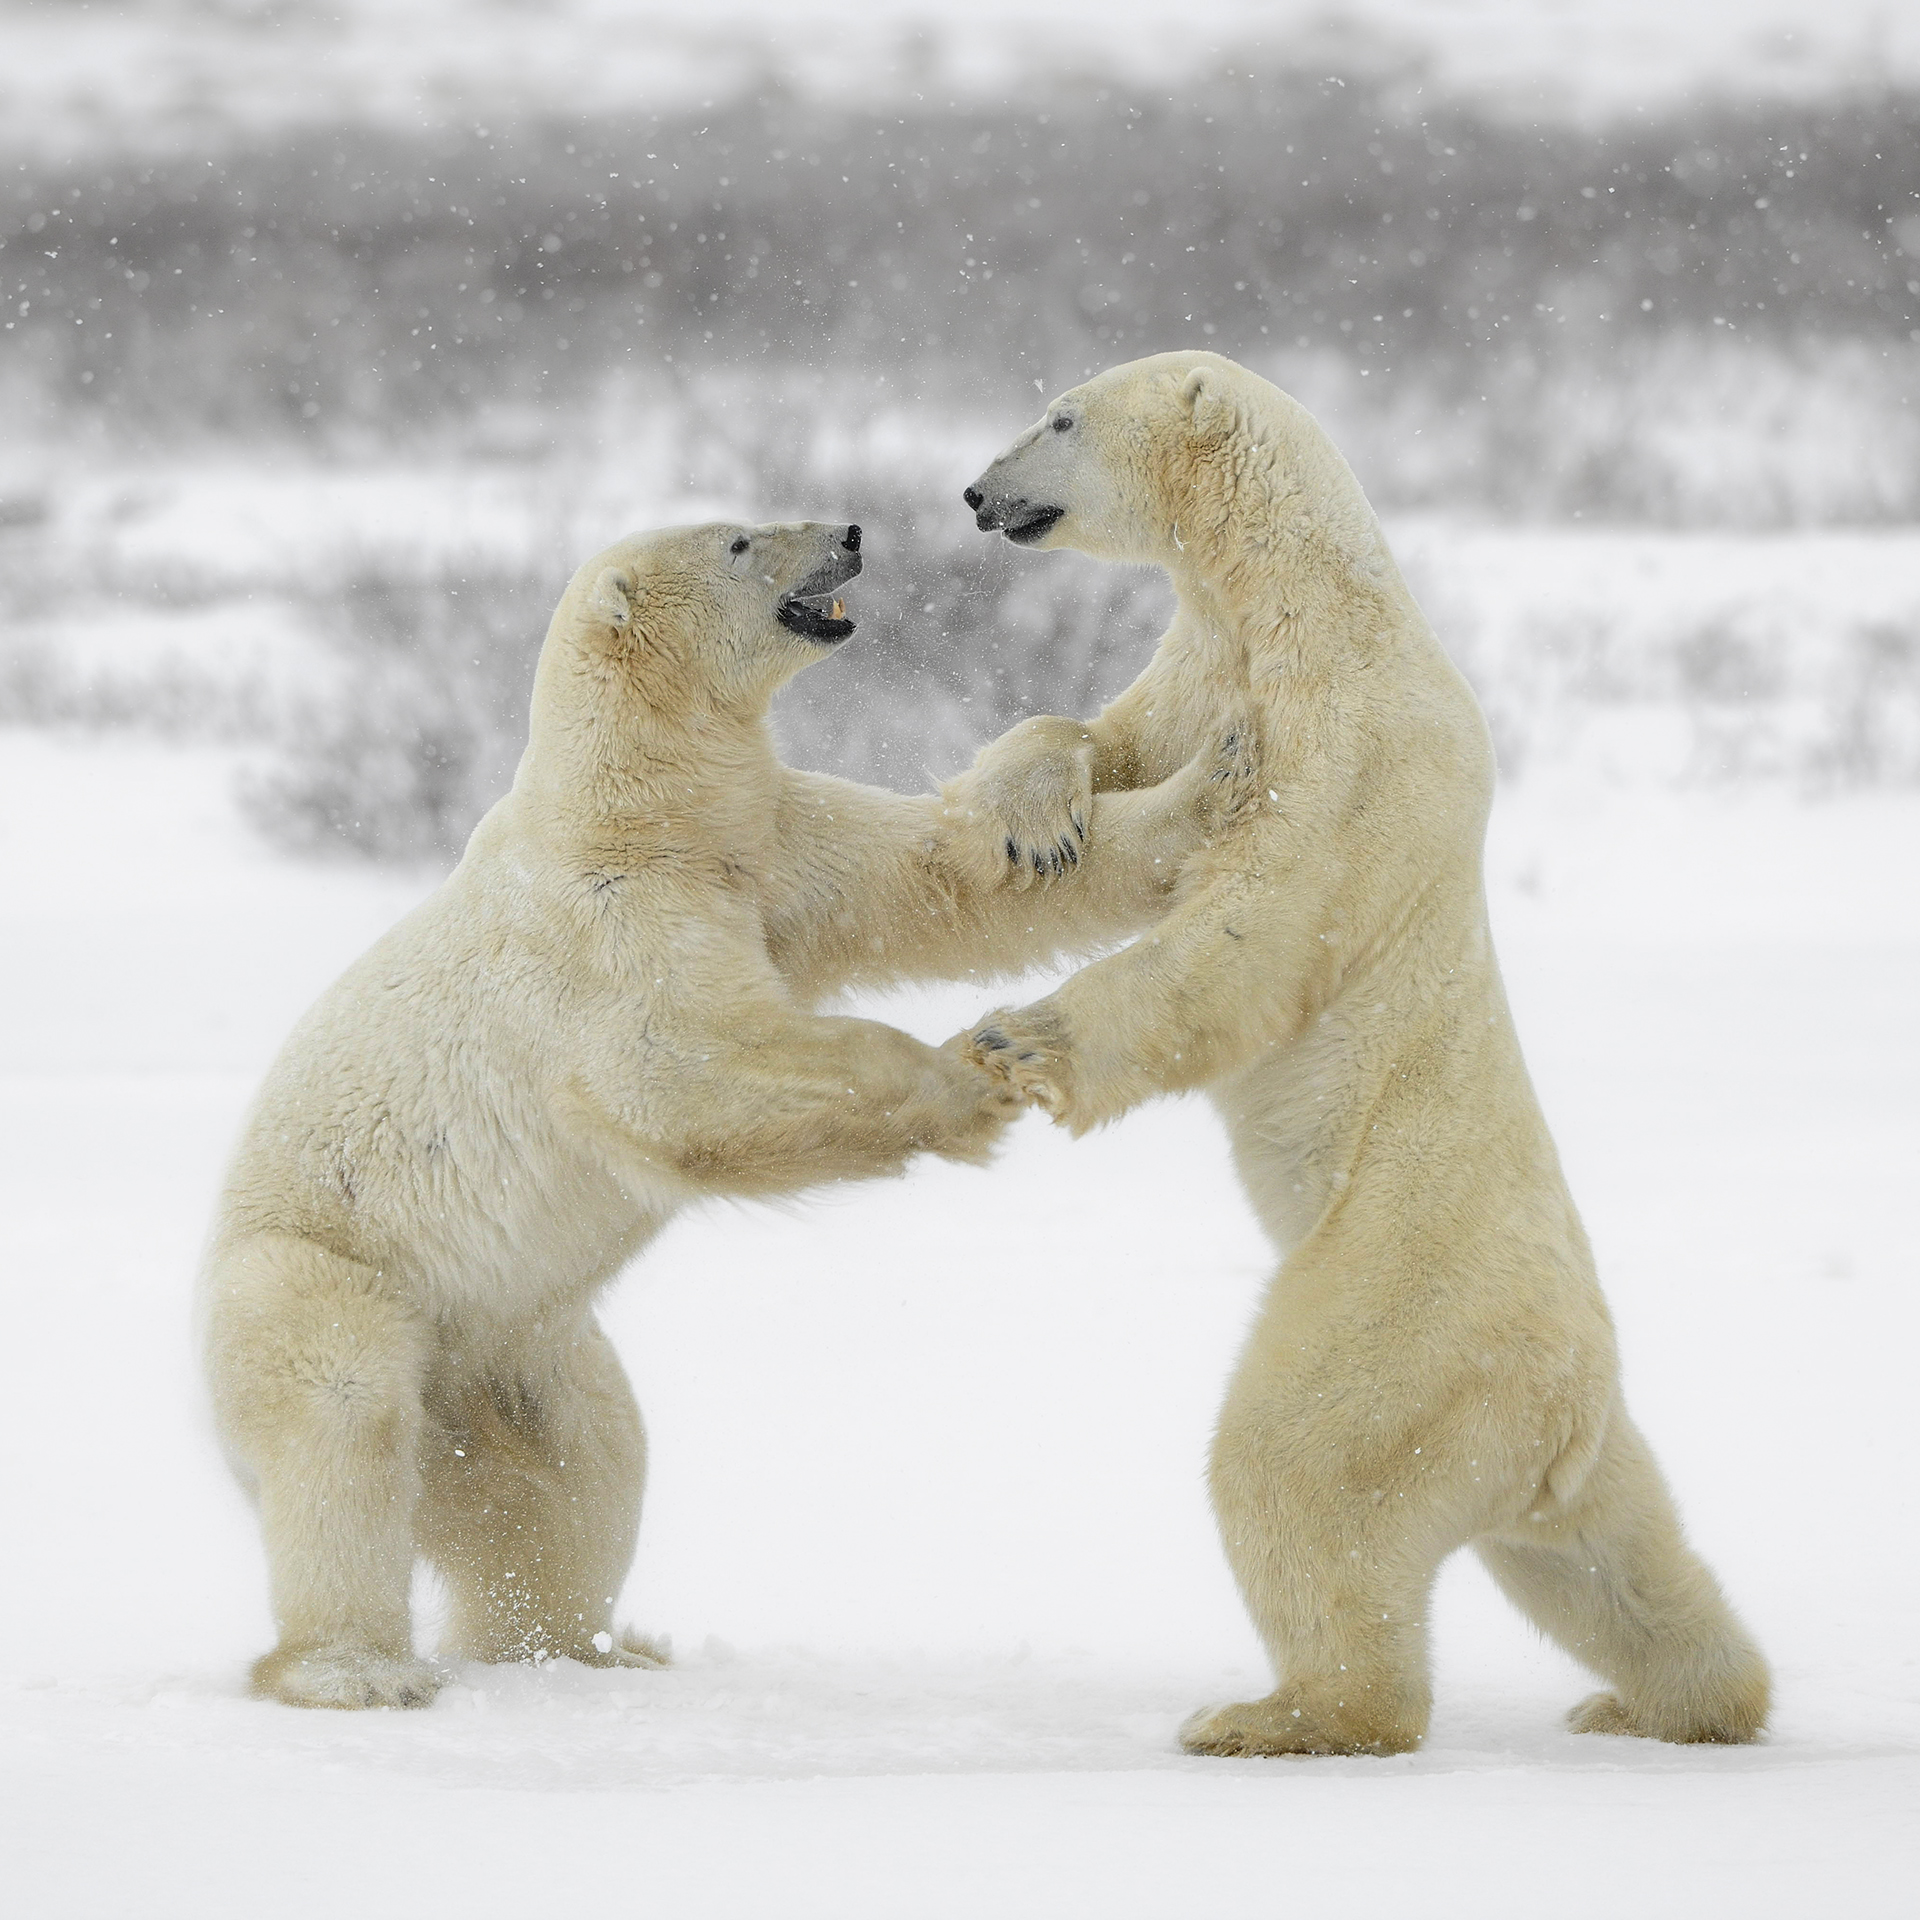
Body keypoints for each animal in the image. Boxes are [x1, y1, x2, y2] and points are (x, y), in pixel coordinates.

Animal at [202, 517, 1246, 1710]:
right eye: (743, 540)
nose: (850, 531)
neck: (637, 813)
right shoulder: (608, 924)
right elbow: (682, 1069)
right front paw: (967, 1078)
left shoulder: (773, 847)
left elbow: (943, 876)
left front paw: (1215, 771)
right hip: (326, 1277)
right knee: (343, 1430)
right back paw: (355, 1670)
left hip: (524, 1348)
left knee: (582, 1472)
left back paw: (586, 1646)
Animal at [945, 352, 1770, 1754]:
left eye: (1060, 417)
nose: (976, 491)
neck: (1299, 603)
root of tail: (1557, 1404)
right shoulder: (1201, 665)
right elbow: (1107, 741)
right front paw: (1037, 816)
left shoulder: (1353, 741)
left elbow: (1254, 925)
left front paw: (1017, 1037)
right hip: (1571, 1441)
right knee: (1612, 1559)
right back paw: (1672, 1700)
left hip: (1402, 1312)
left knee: (1298, 1464)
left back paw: (1275, 1715)